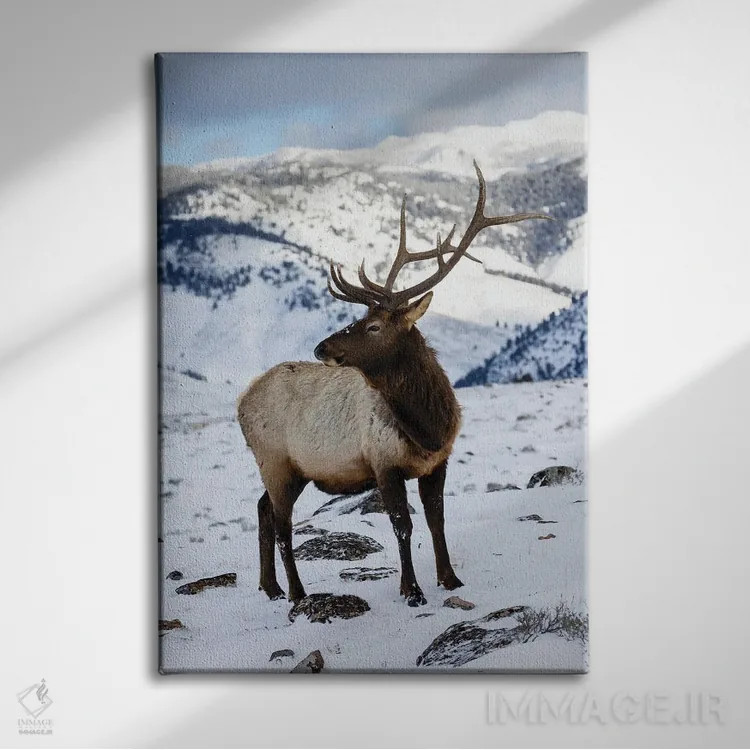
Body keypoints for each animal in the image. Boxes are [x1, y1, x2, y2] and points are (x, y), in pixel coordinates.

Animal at [237, 162, 549, 607]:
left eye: (373, 325)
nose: (320, 346)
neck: (428, 427)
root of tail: (240, 401)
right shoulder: (383, 463)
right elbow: (403, 526)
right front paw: (412, 590)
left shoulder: (438, 463)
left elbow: (437, 520)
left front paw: (449, 578)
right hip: (276, 461)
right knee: (282, 525)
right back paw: (298, 593)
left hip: (288, 470)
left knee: (263, 510)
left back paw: (272, 587)